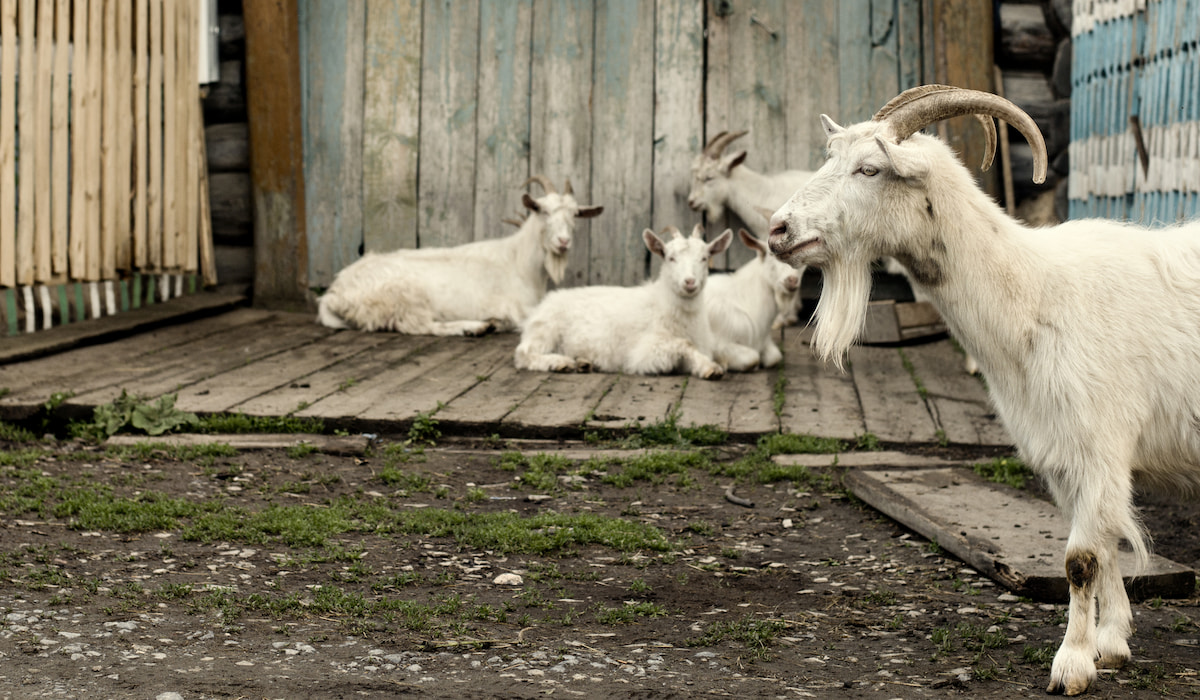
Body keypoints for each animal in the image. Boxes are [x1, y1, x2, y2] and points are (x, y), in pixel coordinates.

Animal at [316, 176, 602, 335]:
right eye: (542, 210)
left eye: (575, 214)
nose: (563, 241)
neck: (518, 262)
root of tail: (334, 293)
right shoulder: (518, 307)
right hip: (402, 298)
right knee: (421, 326)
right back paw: (474, 327)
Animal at [515, 225, 759, 378]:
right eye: (670, 258)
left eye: (704, 258)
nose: (689, 282)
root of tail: (543, 305)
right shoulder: (646, 352)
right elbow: (683, 345)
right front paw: (710, 368)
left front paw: (706, 366)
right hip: (546, 329)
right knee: (523, 354)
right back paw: (560, 362)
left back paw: (583, 362)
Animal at [767, 84, 1200, 696]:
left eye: (869, 168)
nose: (778, 230)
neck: (1034, 292)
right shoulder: (1062, 454)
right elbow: (1108, 545)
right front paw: (1112, 643)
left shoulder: (1100, 440)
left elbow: (1082, 559)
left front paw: (1071, 665)